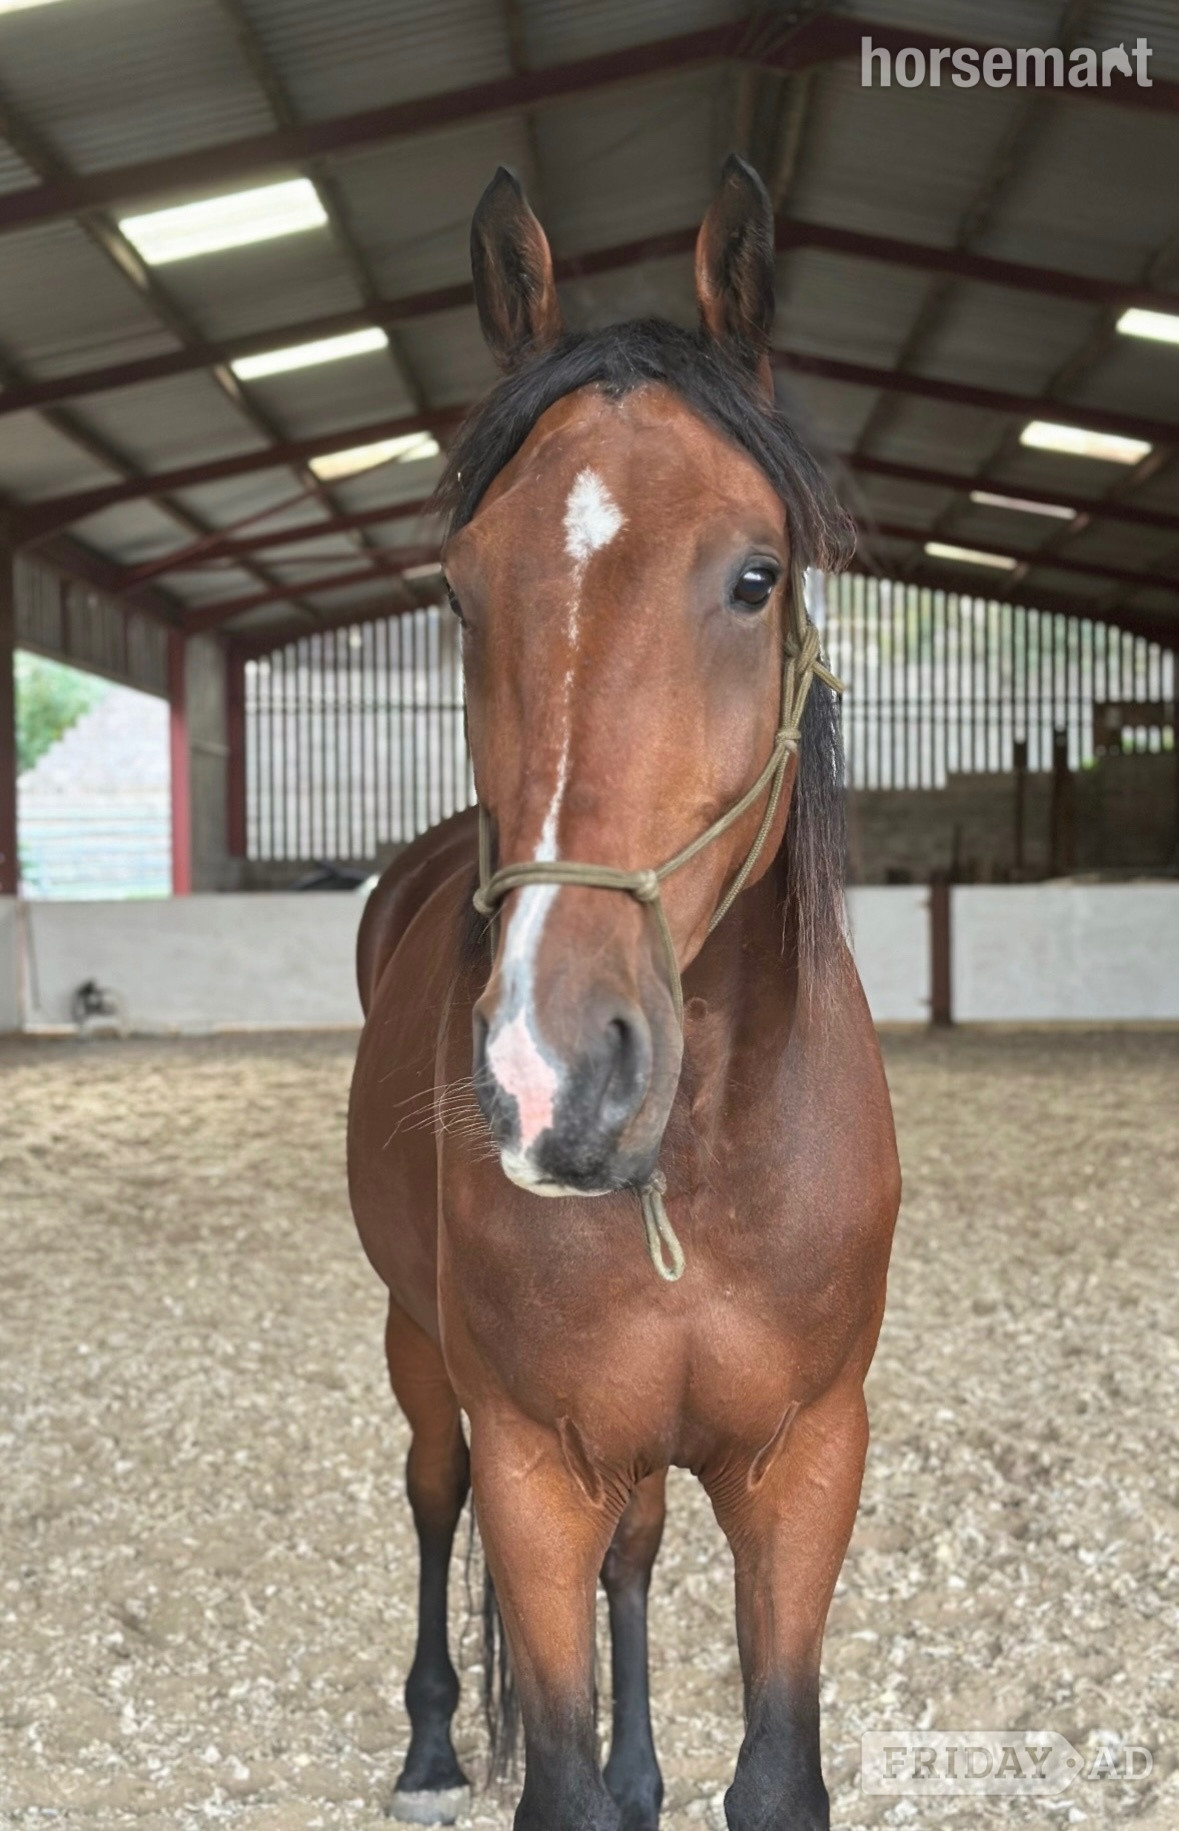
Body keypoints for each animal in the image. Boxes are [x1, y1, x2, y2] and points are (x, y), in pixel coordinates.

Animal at [348, 155, 901, 1831]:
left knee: (641, 1555)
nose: (554, 1079)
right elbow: (559, 1767)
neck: (698, 1171)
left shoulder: (805, 1461)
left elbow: (769, 1767)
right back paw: (428, 1737)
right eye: (461, 595)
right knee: (430, 1491)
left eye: (753, 576)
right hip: (422, 1353)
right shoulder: (538, 1466)